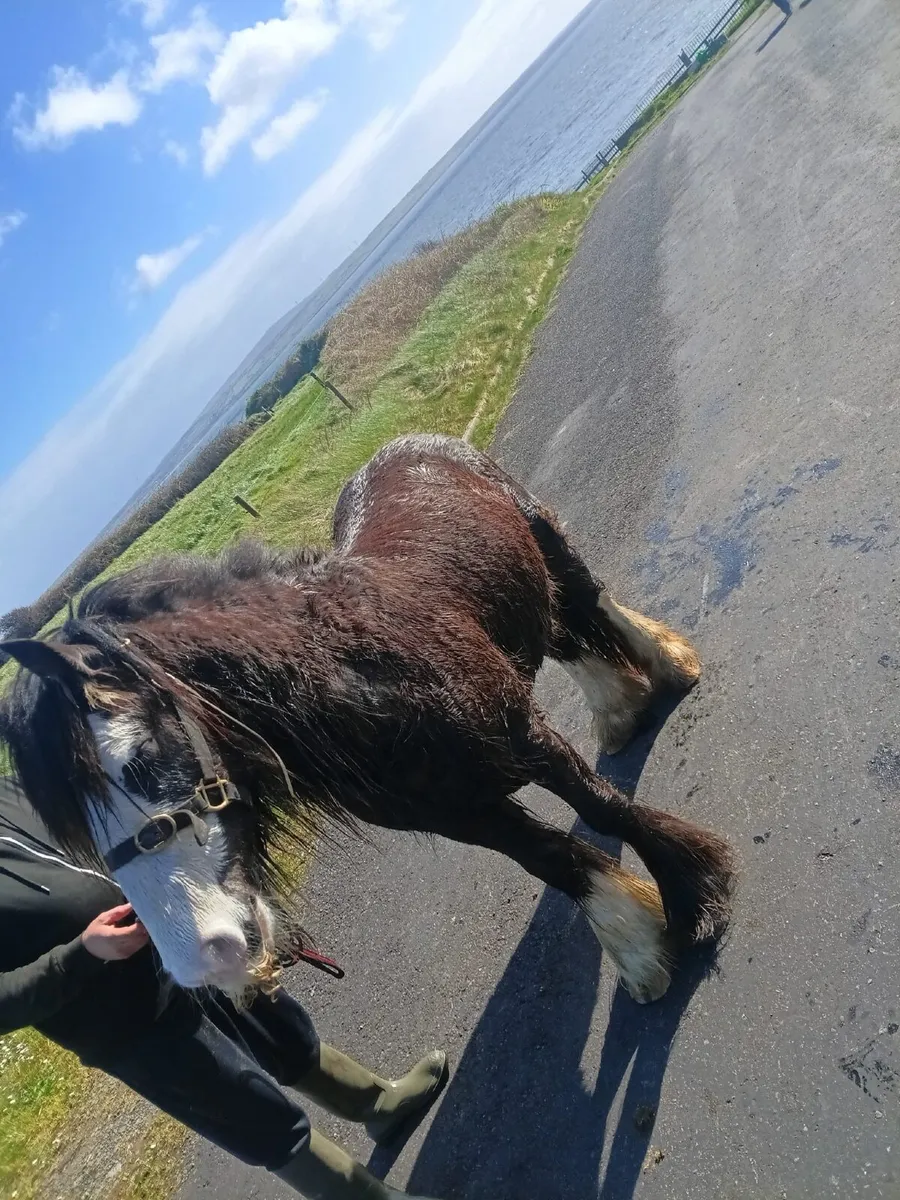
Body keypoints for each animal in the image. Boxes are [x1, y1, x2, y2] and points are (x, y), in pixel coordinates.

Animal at [0, 434, 734, 1005]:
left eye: (143, 759)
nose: (203, 958)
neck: (355, 673)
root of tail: (411, 446)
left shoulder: (527, 738)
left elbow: (605, 809)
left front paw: (697, 897)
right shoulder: (462, 814)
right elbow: (552, 860)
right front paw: (639, 951)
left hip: (548, 542)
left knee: (591, 605)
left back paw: (669, 668)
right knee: (564, 635)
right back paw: (621, 711)